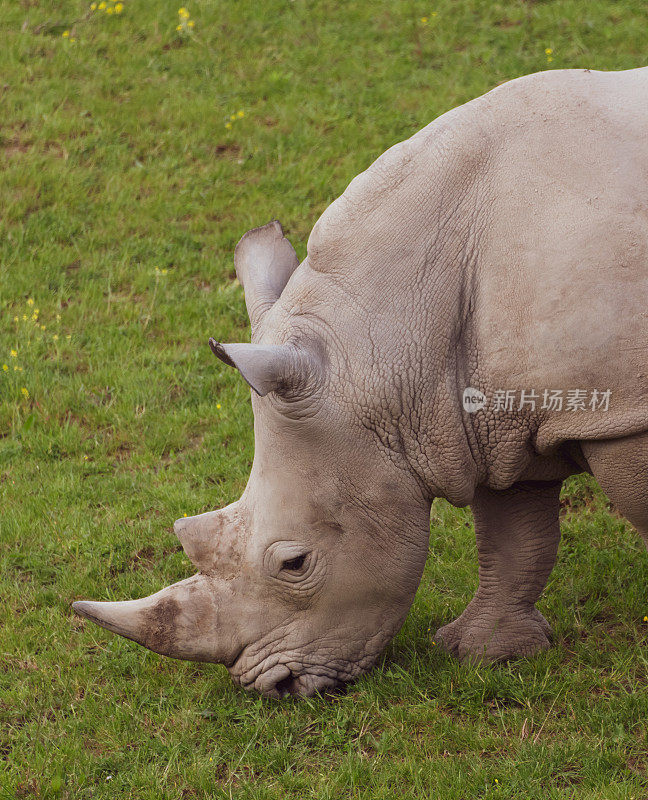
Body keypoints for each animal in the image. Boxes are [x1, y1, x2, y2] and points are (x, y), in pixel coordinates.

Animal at [73, 69, 648, 700]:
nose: (274, 688)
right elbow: (514, 533)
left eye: (295, 563)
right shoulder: (497, 416)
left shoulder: (620, 411)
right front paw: (483, 654)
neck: (388, 336)